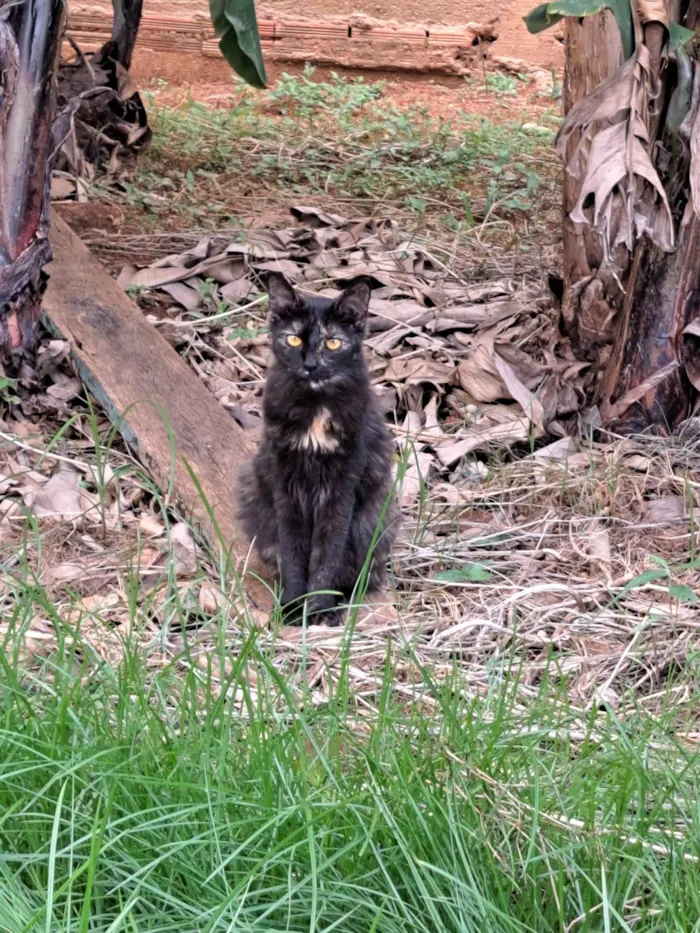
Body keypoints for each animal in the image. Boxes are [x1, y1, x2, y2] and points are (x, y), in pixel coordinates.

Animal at [238, 270, 396, 624]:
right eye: (294, 340)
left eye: (332, 342)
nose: (310, 364)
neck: (315, 408)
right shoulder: (285, 485)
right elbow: (293, 551)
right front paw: (294, 607)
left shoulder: (342, 488)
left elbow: (327, 553)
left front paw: (318, 609)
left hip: (372, 522)